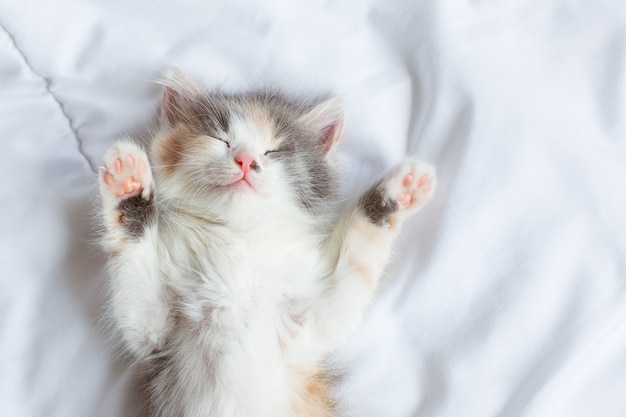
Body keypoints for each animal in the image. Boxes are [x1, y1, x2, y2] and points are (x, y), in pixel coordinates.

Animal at [98, 70, 434, 414]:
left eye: (275, 150)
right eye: (221, 138)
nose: (246, 160)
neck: (239, 240)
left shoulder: (310, 330)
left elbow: (354, 264)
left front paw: (396, 192)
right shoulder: (155, 336)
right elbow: (139, 301)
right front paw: (129, 184)